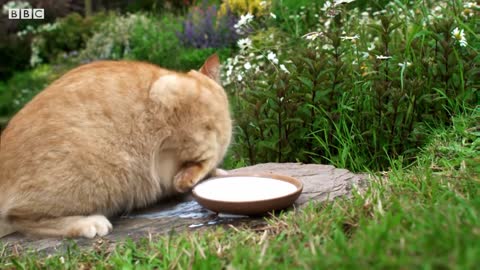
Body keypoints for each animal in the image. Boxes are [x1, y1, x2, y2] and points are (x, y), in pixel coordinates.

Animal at [0, 54, 232, 238]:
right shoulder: (168, 92)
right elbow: (204, 152)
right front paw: (199, 173)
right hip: (95, 178)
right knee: (19, 218)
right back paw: (88, 223)